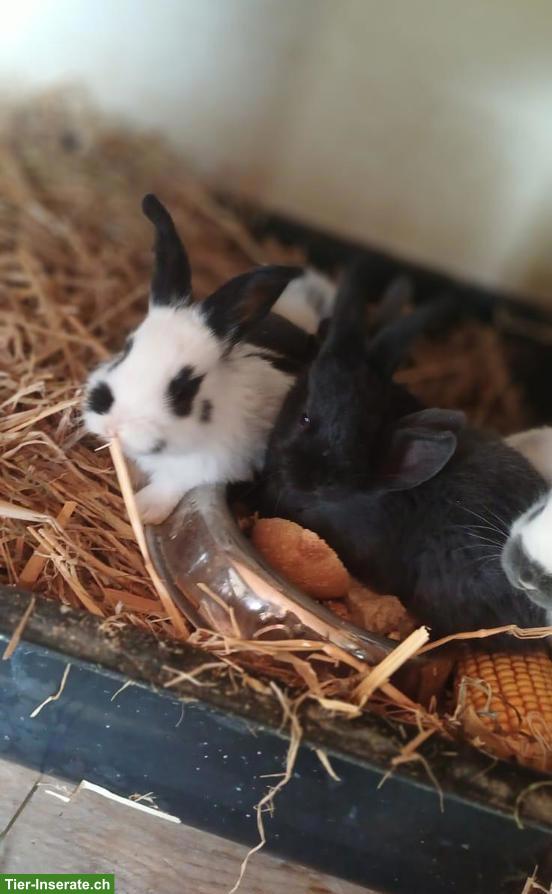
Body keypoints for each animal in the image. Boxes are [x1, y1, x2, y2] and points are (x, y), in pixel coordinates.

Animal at [84, 194, 318, 524]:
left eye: (183, 389)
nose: (114, 426)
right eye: (127, 348)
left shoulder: (205, 468)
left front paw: (142, 510)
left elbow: (170, 485)